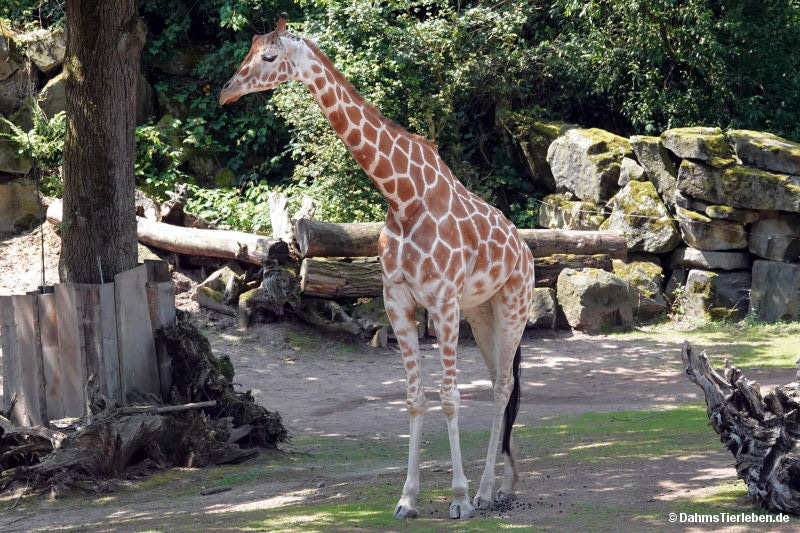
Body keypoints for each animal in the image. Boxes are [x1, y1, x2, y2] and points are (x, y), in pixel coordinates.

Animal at [220, 14, 535, 519]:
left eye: (268, 57)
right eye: (249, 51)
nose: (225, 91)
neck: (402, 198)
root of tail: (525, 250)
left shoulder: (441, 301)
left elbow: (448, 396)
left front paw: (458, 499)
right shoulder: (398, 301)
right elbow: (413, 398)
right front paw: (407, 499)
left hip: (512, 305)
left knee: (503, 386)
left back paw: (486, 492)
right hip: (480, 311)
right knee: (496, 384)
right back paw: (497, 488)